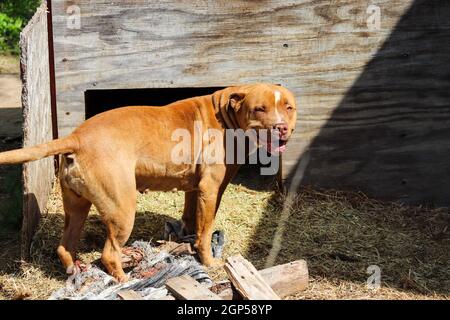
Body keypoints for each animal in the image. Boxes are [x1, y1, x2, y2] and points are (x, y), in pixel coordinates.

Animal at [0, 84, 298, 282]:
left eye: (289, 107)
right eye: (259, 109)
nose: (281, 127)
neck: (226, 115)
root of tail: (77, 137)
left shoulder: (194, 189)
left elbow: (191, 218)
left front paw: (186, 242)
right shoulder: (211, 189)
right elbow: (205, 231)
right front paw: (207, 259)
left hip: (77, 207)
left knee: (66, 245)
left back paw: (76, 269)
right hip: (122, 209)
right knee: (109, 254)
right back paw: (124, 280)